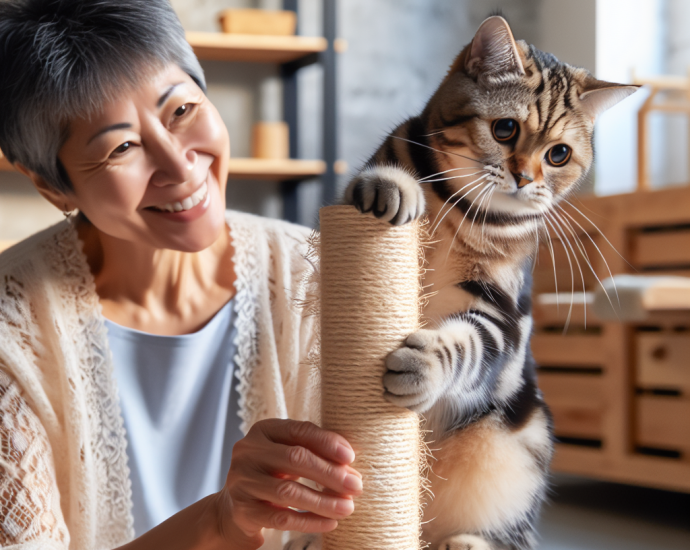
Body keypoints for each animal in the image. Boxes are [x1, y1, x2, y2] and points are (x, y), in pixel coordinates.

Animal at [284, 12, 636, 550]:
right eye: (505, 128)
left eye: (558, 155)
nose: (524, 177)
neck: (463, 209)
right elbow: (380, 175)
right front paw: (389, 186)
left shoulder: (501, 312)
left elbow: (469, 342)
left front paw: (424, 364)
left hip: (524, 444)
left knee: (516, 534)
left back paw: (466, 542)